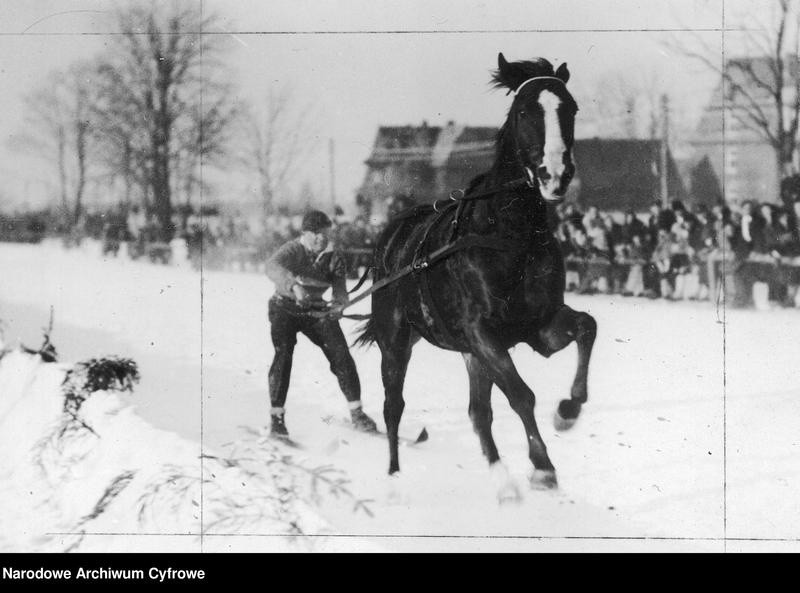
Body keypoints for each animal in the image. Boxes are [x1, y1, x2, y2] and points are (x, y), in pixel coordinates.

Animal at [354, 52, 592, 494]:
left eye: (570, 108)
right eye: (524, 111)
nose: (556, 173)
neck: (511, 236)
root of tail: (391, 235)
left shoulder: (537, 326)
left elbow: (587, 326)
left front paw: (568, 409)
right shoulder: (483, 332)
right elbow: (521, 395)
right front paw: (543, 466)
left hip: (468, 352)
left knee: (478, 411)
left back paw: (502, 480)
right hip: (396, 339)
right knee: (394, 405)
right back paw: (394, 475)